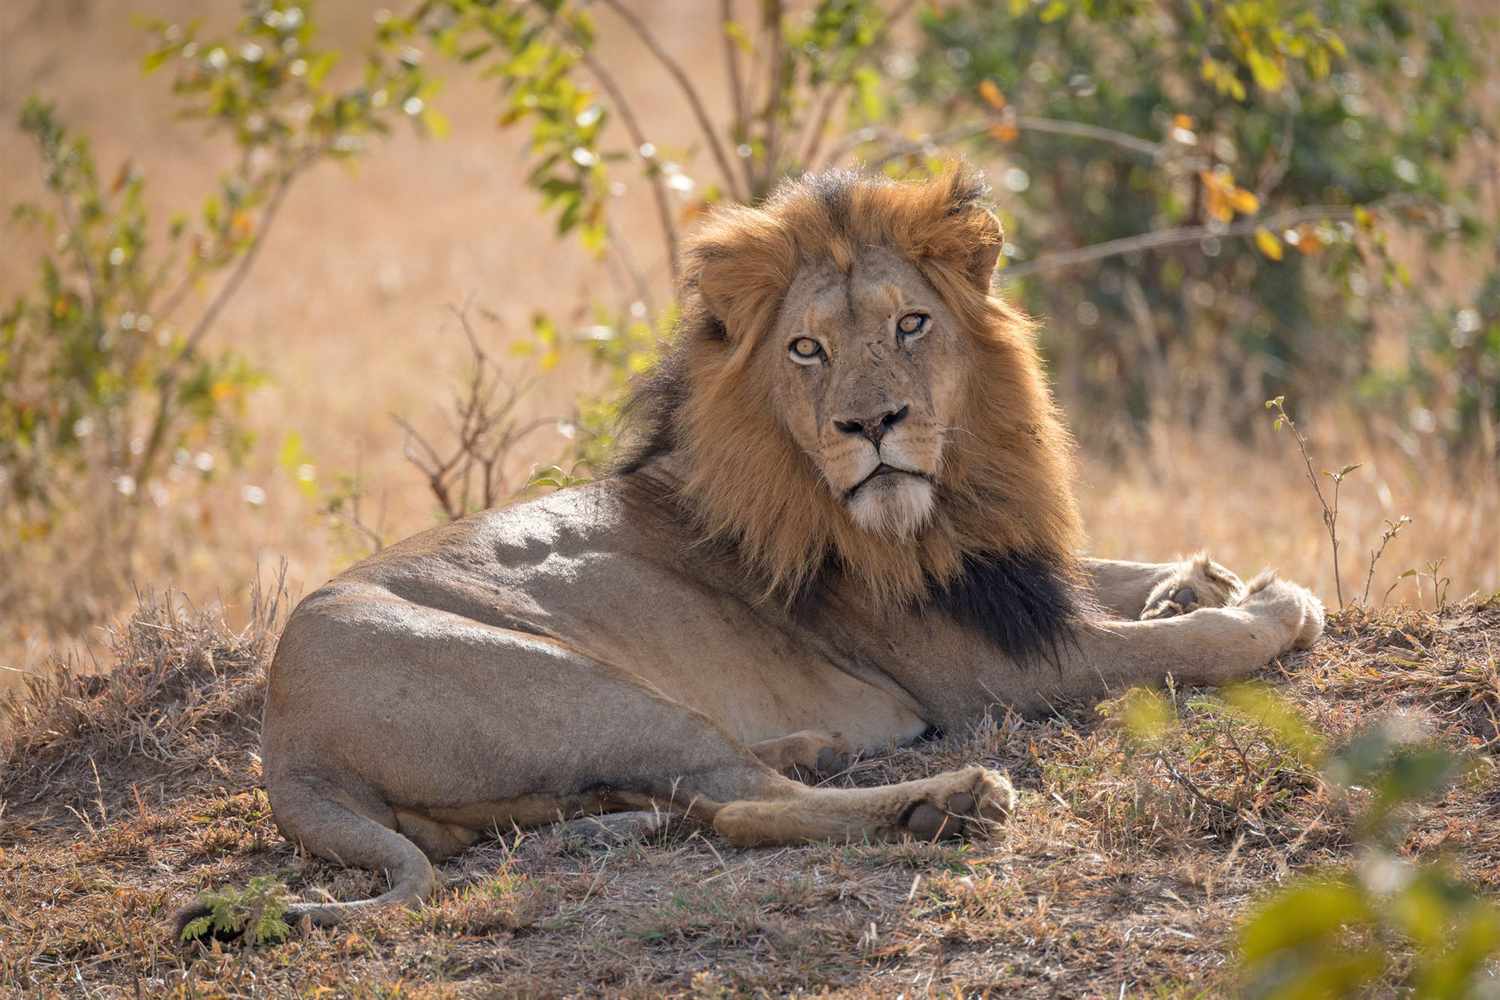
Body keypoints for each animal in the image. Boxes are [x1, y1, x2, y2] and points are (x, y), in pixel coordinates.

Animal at [187, 164, 1326, 929]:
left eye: (912, 324)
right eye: (807, 348)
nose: (873, 423)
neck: (946, 500)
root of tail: (286, 745)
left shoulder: (1002, 571)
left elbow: (1115, 576)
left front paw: (1198, 576)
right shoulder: (990, 668)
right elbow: (1179, 647)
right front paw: (1266, 604)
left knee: (702, 792)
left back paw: (790, 755)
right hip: (580, 683)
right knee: (739, 807)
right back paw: (943, 803)